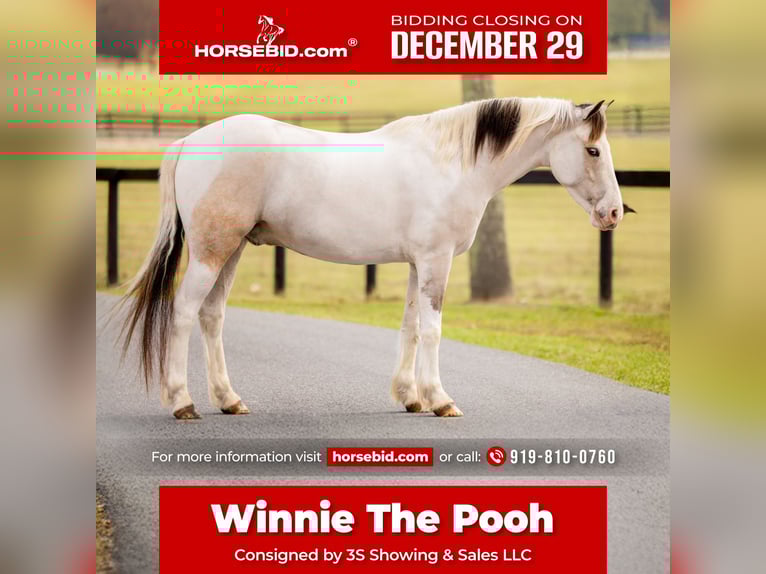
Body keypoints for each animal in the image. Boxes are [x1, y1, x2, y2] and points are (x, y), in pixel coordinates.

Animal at [118, 97, 625, 420]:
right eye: (593, 150)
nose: (614, 213)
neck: (452, 163)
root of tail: (189, 142)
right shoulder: (437, 261)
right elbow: (432, 329)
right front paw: (440, 399)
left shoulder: (418, 263)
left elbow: (410, 327)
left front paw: (410, 397)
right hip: (212, 252)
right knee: (184, 313)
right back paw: (182, 402)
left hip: (233, 250)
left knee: (212, 315)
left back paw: (229, 400)